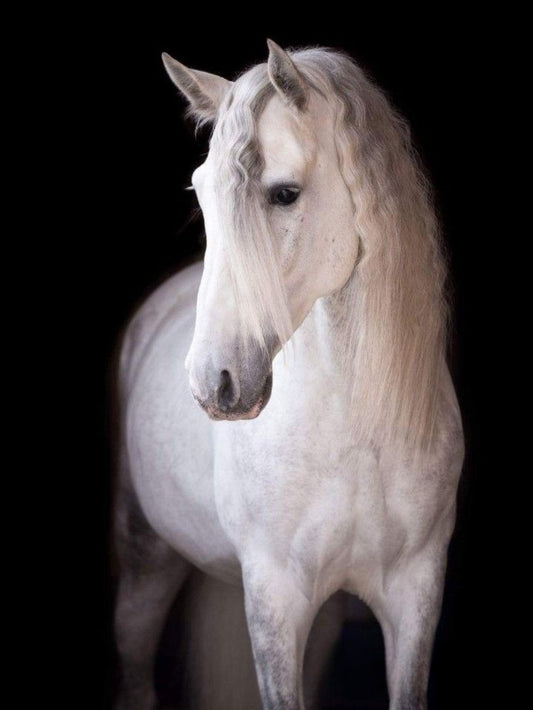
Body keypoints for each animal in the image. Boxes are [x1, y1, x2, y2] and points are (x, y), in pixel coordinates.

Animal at [113, 40, 464, 710]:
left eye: (284, 194)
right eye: (201, 194)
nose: (213, 383)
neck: (356, 433)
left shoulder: (418, 595)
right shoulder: (275, 599)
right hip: (145, 559)